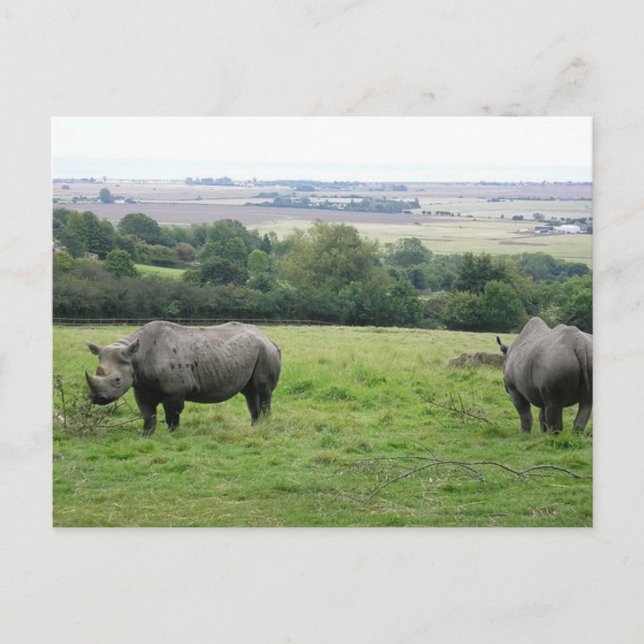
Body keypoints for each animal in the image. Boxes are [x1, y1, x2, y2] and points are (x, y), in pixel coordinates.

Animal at [85, 321, 281, 436]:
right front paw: (146, 435)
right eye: (96, 372)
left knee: (263, 389)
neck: (136, 356)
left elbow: (173, 413)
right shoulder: (140, 386)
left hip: (266, 351)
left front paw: (173, 433)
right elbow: (147, 413)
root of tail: (268, 337)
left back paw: (265, 425)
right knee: (250, 392)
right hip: (255, 350)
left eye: (117, 380)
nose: (97, 398)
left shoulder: (176, 390)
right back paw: (255, 427)